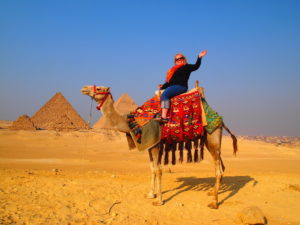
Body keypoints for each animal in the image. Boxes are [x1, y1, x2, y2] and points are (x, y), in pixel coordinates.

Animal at [81, 85, 238, 209]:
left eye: (99, 88)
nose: (84, 88)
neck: (133, 122)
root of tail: (220, 120)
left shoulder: (155, 144)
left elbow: (158, 170)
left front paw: (159, 201)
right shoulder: (150, 146)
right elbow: (152, 168)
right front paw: (151, 194)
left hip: (213, 137)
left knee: (218, 169)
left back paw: (214, 202)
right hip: (210, 141)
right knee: (221, 166)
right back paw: (212, 192)